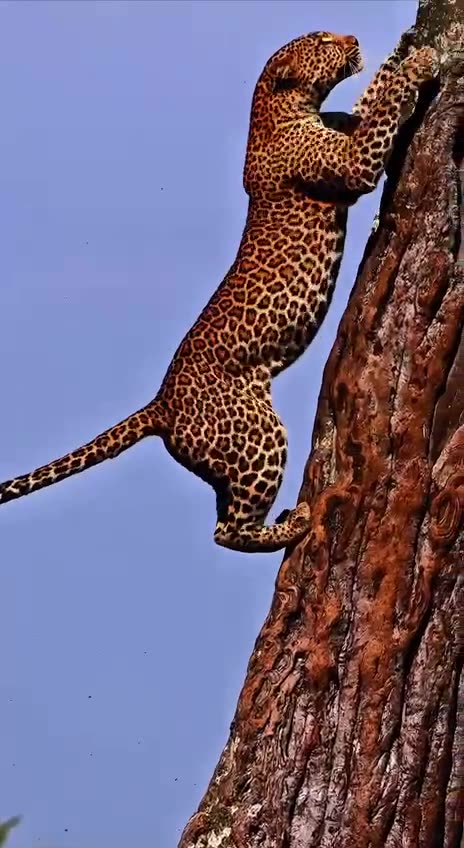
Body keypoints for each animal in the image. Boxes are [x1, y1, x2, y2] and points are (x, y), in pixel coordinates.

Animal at [0, 31, 437, 553]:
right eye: (321, 42)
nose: (350, 37)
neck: (282, 109)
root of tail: (161, 405)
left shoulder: (345, 127)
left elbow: (372, 98)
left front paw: (401, 50)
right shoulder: (353, 163)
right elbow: (383, 113)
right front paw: (420, 63)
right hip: (256, 436)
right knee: (226, 531)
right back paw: (295, 522)